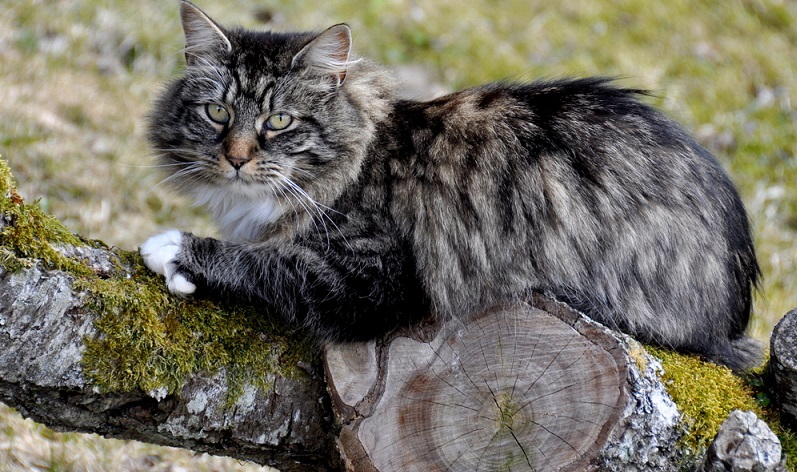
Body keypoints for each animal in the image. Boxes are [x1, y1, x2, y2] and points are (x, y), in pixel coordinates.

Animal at [140, 0, 760, 372]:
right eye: (218, 113)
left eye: (280, 122)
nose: (237, 158)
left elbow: (267, 262)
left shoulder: (375, 274)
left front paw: (177, 249)